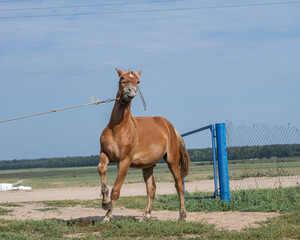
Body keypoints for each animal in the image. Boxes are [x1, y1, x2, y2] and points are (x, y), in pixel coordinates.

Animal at [98, 68, 190, 221]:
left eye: (138, 81)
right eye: (122, 78)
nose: (131, 92)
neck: (118, 128)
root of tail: (169, 126)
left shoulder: (124, 161)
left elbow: (116, 190)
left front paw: (108, 216)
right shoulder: (105, 154)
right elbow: (102, 169)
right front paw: (105, 202)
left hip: (172, 161)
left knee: (179, 185)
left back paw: (182, 215)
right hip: (147, 166)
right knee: (151, 189)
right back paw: (145, 216)